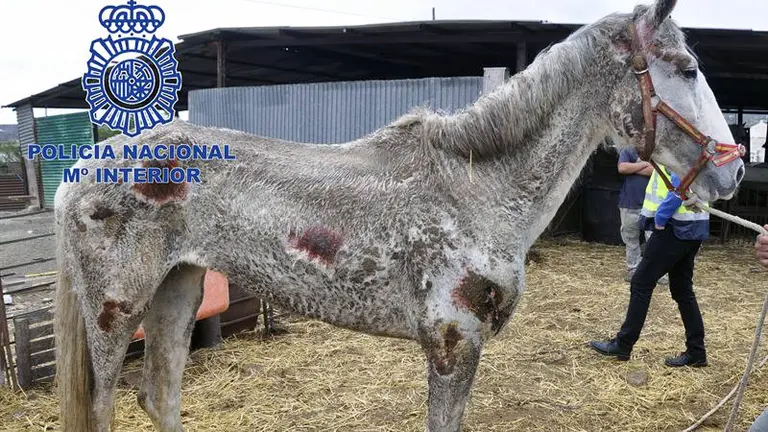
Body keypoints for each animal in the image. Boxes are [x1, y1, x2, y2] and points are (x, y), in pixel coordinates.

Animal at [52, 0, 745, 430]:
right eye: (686, 69)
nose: (732, 172)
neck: (476, 190)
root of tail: (81, 168)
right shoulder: (452, 345)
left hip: (178, 289)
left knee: (160, 396)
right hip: (116, 310)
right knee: (106, 405)